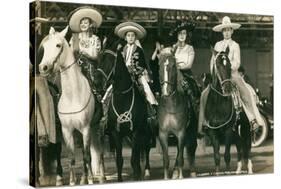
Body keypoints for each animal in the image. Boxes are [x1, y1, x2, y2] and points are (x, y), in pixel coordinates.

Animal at [38, 26, 105, 186]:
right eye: (45, 46)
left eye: (58, 45)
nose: (43, 67)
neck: (73, 97)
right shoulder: (67, 131)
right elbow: (71, 157)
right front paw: (74, 181)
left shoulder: (85, 129)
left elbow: (86, 156)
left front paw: (89, 180)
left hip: (97, 127)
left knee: (99, 152)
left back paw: (100, 176)